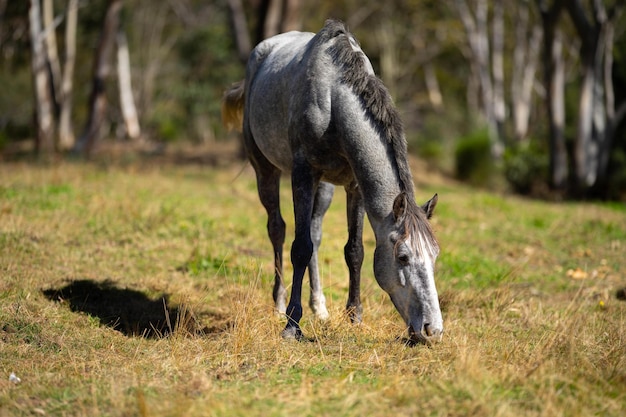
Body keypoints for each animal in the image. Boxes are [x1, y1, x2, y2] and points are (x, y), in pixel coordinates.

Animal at [222, 19, 442, 344]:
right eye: (403, 257)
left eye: (435, 255)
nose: (432, 330)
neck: (333, 99)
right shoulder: (303, 173)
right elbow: (300, 247)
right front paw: (292, 324)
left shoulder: (354, 186)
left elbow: (354, 250)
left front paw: (355, 316)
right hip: (266, 169)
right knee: (277, 229)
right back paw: (279, 305)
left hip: (324, 187)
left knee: (315, 233)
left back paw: (319, 307)